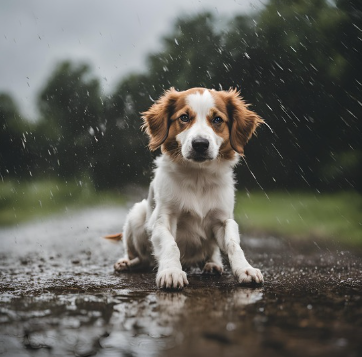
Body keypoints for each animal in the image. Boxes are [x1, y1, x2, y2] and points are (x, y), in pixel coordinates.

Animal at [107, 87, 264, 290]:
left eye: (217, 119)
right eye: (184, 117)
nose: (200, 144)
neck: (198, 177)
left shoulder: (224, 219)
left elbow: (233, 244)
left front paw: (245, 269)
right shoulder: (162, 219)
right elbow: (170, 245)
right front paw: (171, 272)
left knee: (212, 252)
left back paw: (213, 264)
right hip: (137, 214)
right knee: (142, 259)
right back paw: (126, 263)